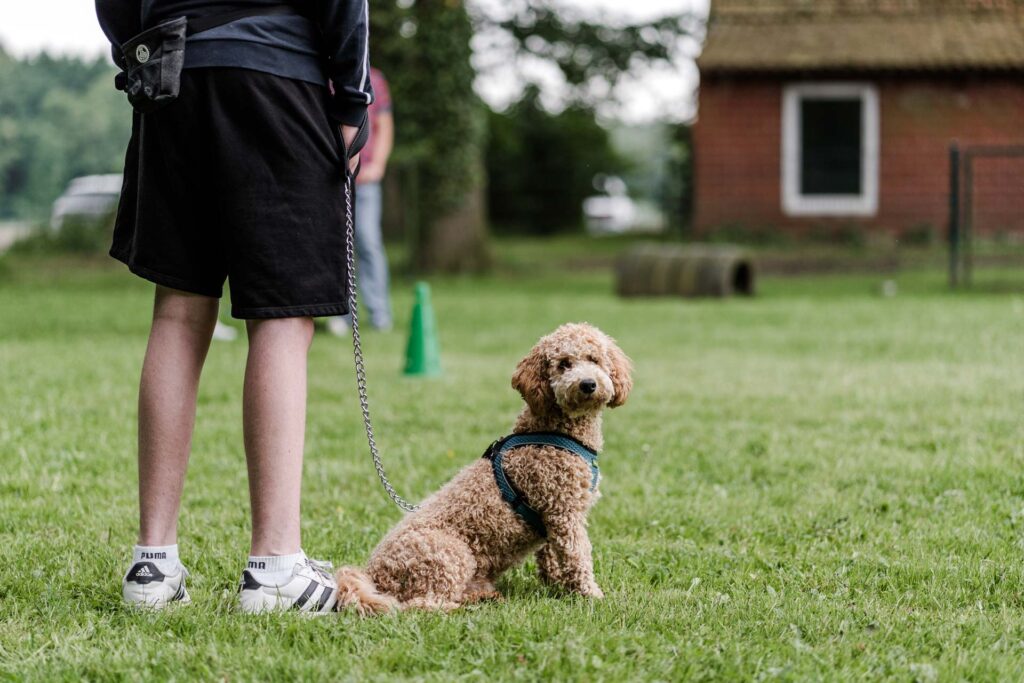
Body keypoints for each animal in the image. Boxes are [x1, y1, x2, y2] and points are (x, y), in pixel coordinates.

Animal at [335, 321, 626, 614]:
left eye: (594, 359)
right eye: (564, 364)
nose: (587, 384)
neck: (553, 432)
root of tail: (373, 574)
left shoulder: (549, 518)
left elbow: (551, 557)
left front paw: (556, 586)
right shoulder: (565, 512)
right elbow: (577, 556)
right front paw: (591, 595)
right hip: (450, 553)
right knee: (422, 604)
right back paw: (465, 606)